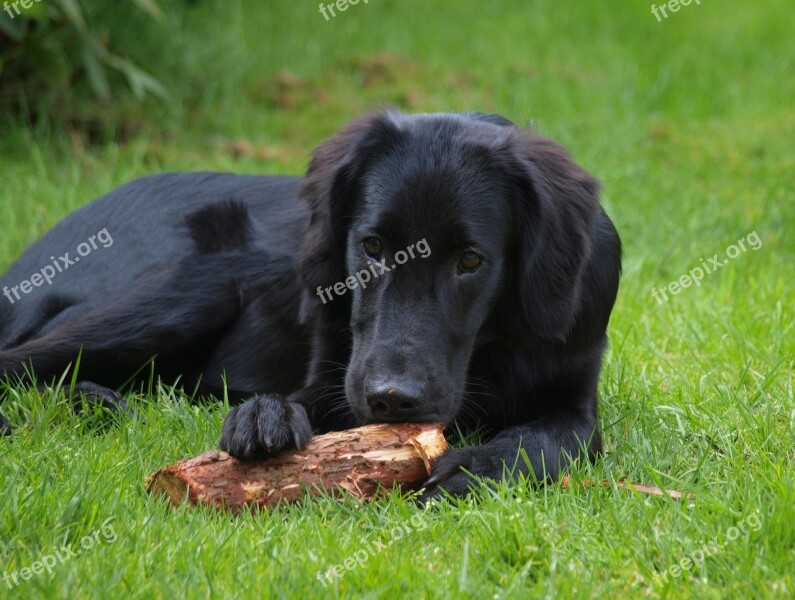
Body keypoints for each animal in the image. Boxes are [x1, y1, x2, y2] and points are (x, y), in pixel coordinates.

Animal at [0, 111, 620, 496]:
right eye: (372, 246)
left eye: (470, 260)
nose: (392, 400)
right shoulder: (332, 374)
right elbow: (301, 399)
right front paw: (264, 415)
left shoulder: (574, 399)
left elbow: (543, 440)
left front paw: (477, 465)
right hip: (190, 291)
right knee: (23, 362)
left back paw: (97, 403)